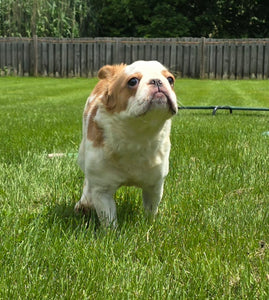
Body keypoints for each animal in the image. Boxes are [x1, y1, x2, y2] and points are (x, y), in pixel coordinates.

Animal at [74, 59, 177, 226]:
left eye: (170, 80)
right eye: (133, 81)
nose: (157, 81)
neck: (137, 136)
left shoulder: (154, 186)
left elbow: (151, 209)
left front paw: (148, 225)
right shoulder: (102, 191)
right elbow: (109, 219)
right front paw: (112, 232)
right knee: (87, 182)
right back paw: (84, 202)